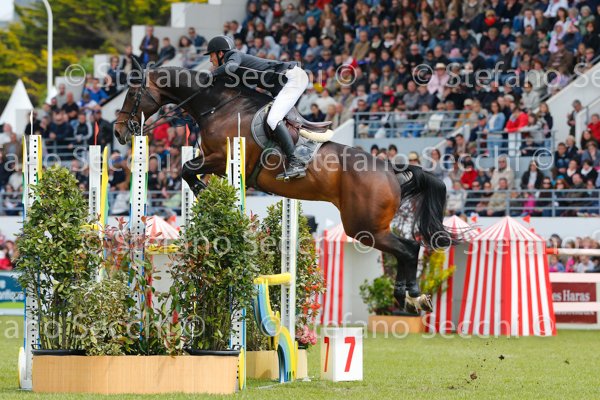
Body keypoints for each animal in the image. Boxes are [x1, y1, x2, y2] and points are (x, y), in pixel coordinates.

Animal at [114, 66, 450, 313]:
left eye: (132, 92)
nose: (117, 132)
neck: (216, 106)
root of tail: (391, 171)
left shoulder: (222, 158)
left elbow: (186, 169)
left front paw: (201, 192)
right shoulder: (214, 160)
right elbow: (189, 168)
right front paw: (205, 194)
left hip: (364, 227)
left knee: (409, 249)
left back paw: (412, 296)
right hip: (371, 227)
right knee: (408, 250)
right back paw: (411, 297)